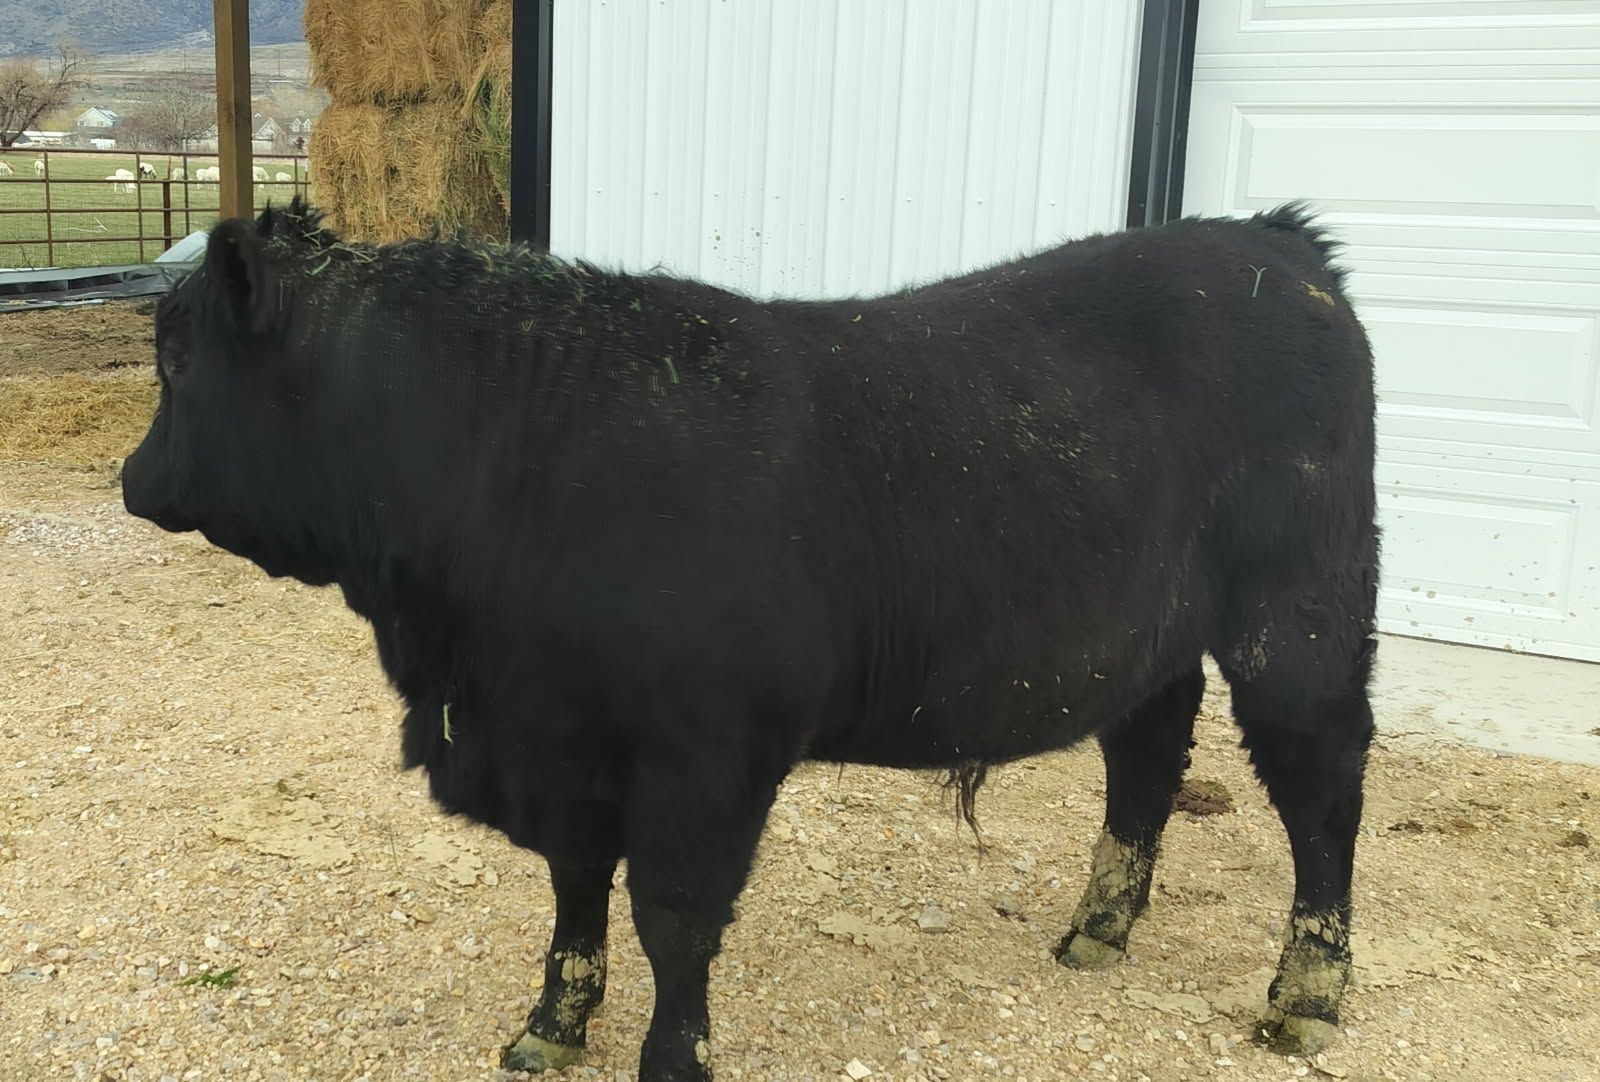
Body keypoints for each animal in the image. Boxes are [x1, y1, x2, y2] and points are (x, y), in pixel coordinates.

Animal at [121, 197, 1379, 1082]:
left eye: (176, 359)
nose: (132, 477)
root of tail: (1274, 246)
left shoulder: (704, 755)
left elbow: (675, 919)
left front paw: (672, 1055)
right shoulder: (566, 742)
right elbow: (576, 890)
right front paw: (550, 1022)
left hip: (1302, 621)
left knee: (1320, 792)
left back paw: (1306, 993)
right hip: (1154, 638)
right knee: (1147, 759)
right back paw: (1098, 928)